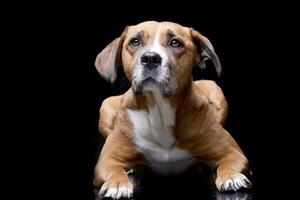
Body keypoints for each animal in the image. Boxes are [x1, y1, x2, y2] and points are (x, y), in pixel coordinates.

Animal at [93, 21, 251, 199]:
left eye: (175, 42)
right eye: (135, 41)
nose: (150, 58)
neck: (159, 110)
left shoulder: (234, 153)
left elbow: (230, 161)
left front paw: (231, 176)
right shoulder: (106, 161)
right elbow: (113, 168)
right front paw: (117, 183)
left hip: (215, 89)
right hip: (105, 107)